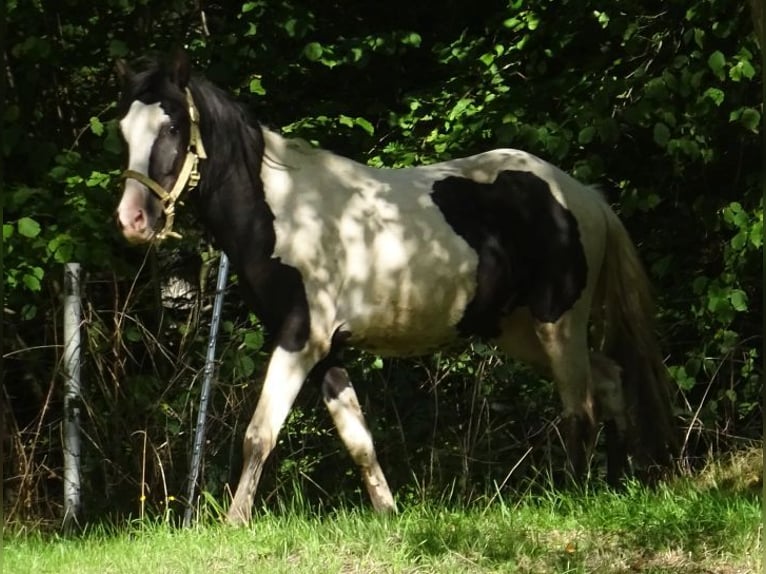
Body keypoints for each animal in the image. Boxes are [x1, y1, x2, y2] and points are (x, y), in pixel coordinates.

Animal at [113, 50, 677, 525]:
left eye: (173, 125)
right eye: (124, 130)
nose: (133, 220)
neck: (284, 211)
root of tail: (582, 195)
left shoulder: (300, 339)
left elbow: (259, 434)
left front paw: (235, 523)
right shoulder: (327, 350)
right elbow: (358, 440)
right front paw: (388, 513)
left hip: (558, 321)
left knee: (580, 408)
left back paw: (577, 493)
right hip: (519, 331)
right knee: (611, 378)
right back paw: (619, 483)